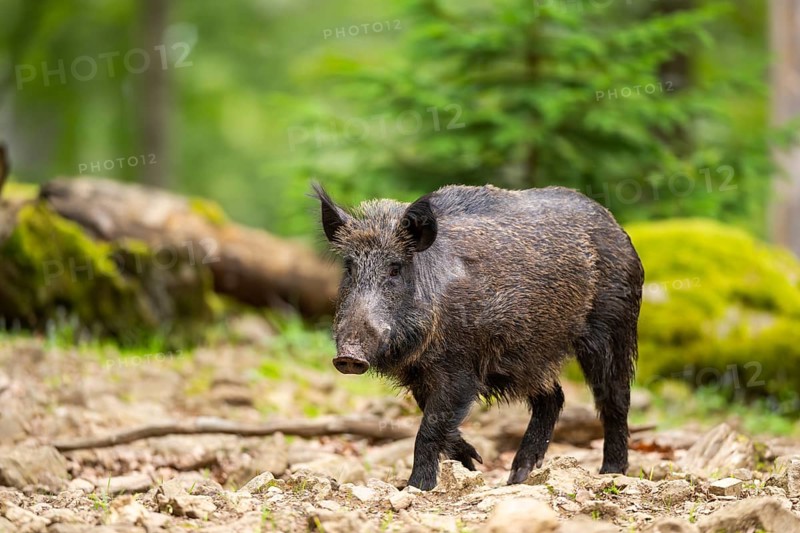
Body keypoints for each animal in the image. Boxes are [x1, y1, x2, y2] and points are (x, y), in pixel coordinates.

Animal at [313, 183, 644, 490]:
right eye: (349, 267)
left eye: (395, 269)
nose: (349, 356)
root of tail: (614, 225)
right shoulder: (420, 373)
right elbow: (430, 415)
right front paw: (473, 464)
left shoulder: (461, 365)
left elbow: (429, 427)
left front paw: (417, 487)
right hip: (528, 355)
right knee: (554, 396)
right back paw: (517, 478)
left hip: (614, 326)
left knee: (614, 399)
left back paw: (610, 474)